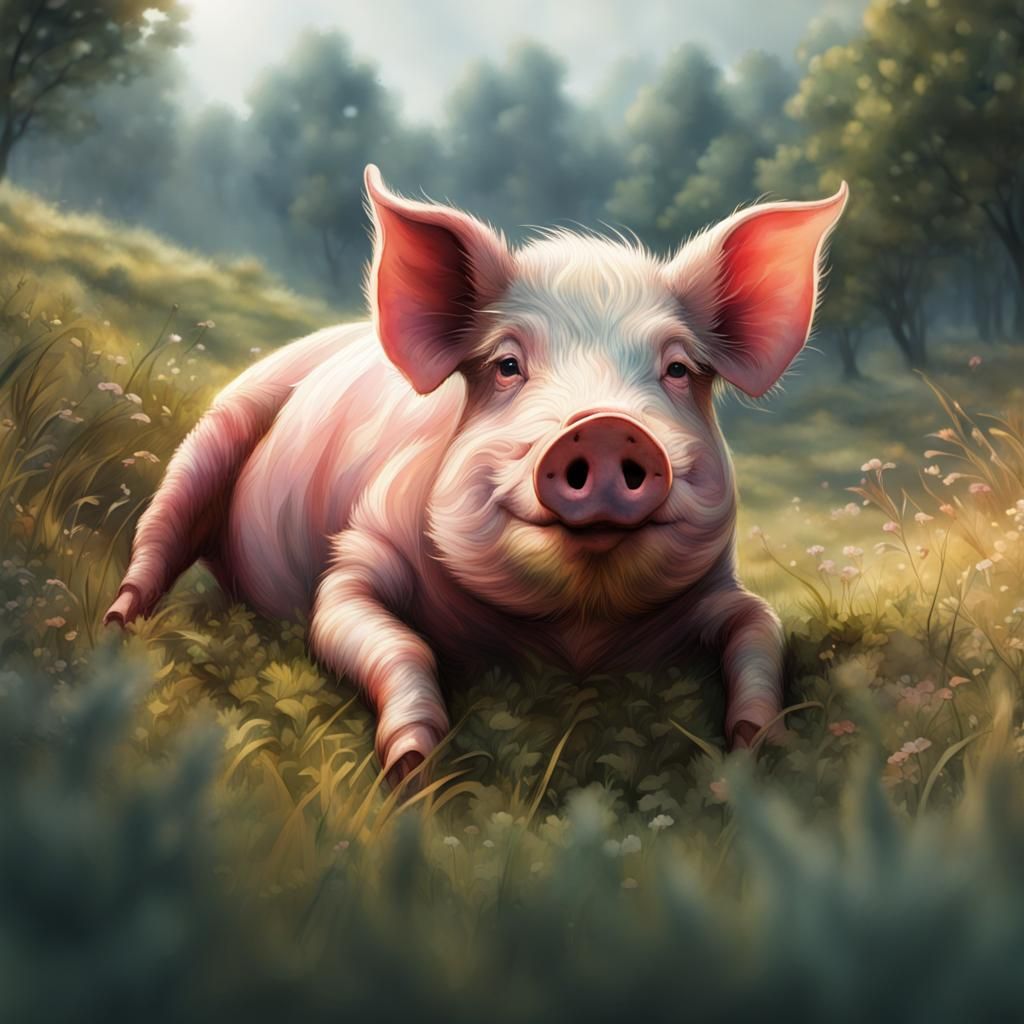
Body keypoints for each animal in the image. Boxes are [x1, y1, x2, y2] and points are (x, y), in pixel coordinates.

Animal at [106, 165, 848, 785]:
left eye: (678, 369)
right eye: (507, 365)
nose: (606, 425)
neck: (576, 634)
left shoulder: (722, 589)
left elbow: (761, 630)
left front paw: (760, 747)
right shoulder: (358, 552)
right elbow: (384, 637)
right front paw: (412, 767)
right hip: (216, 431)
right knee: (159, 534)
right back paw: (117, 622)